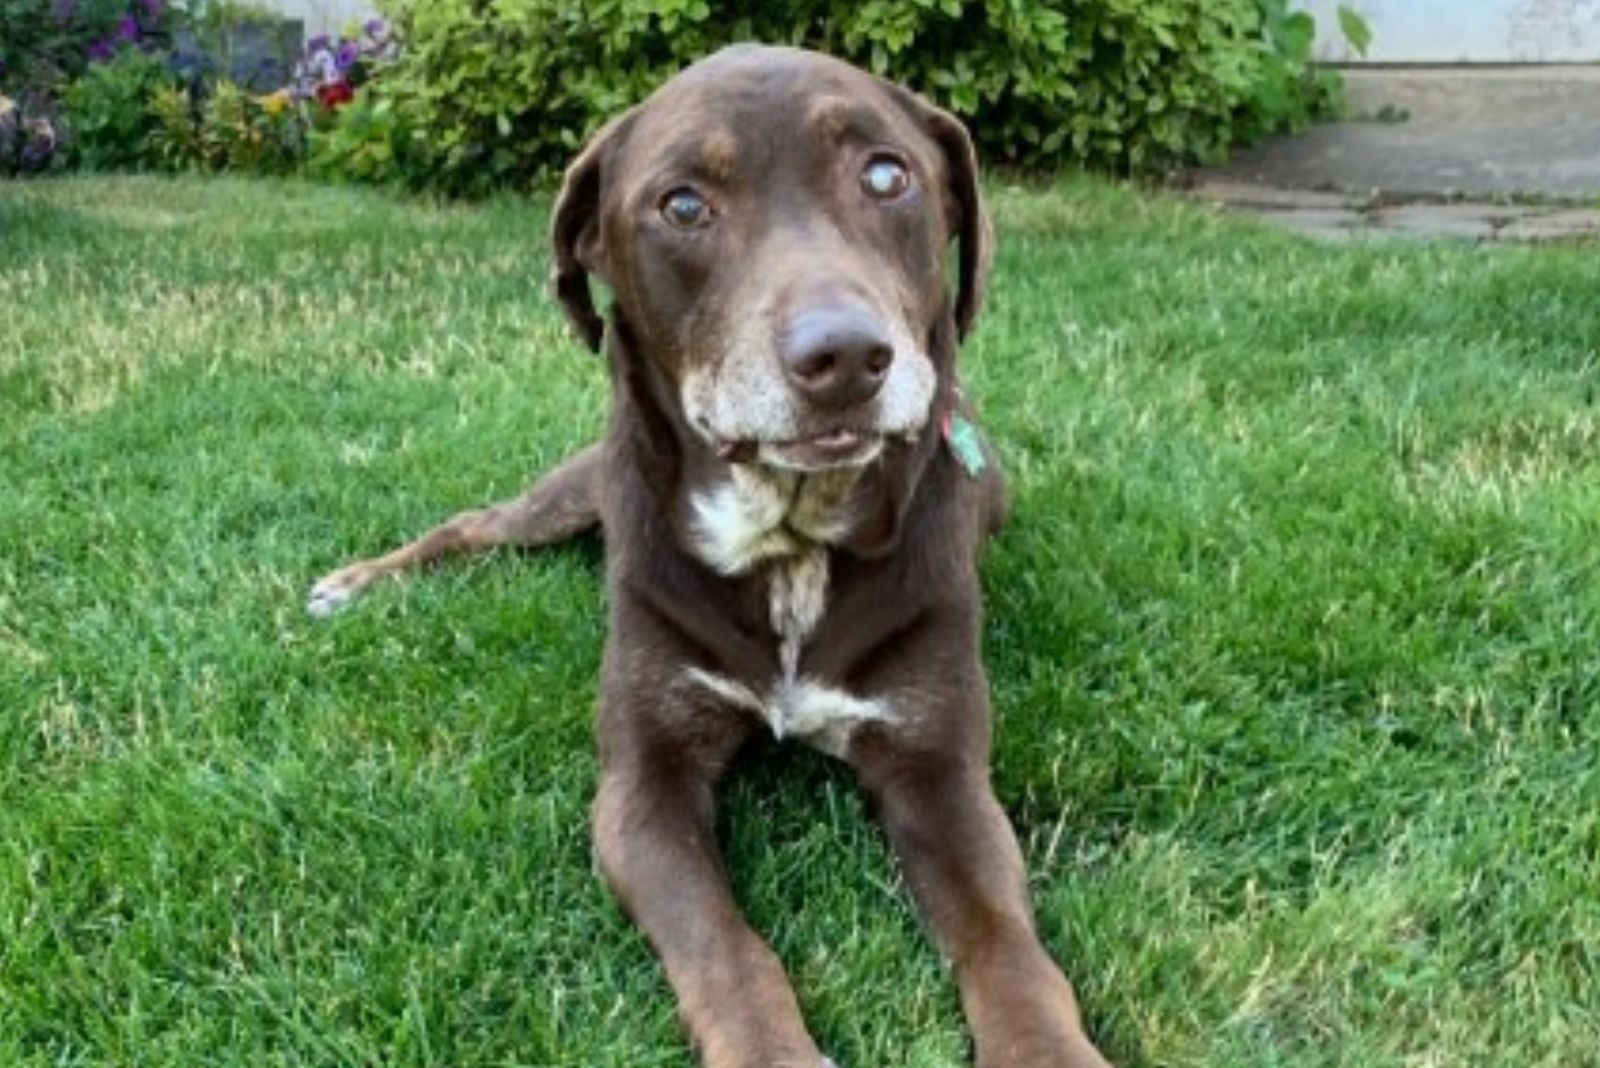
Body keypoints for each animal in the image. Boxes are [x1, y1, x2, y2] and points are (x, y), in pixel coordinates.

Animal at [308, 43, 1113, 1068]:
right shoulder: (643, 787)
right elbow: (726, 951)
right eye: (684, 205)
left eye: (887, 176)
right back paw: (357, 582)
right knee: (474, 523)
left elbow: (1007, 945)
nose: (847, 357)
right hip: (570, 494)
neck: (790, 541)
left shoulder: (941, 772)